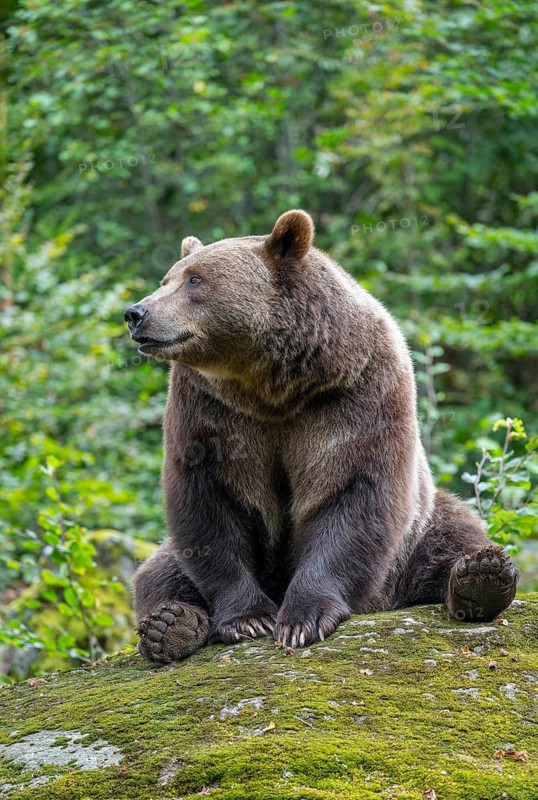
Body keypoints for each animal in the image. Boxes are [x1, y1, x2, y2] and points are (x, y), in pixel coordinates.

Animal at [124, 209, 518, 663]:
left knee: (454, 537)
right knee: (159, 572)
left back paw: (481, 579)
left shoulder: (355, 393)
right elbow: (210, 503)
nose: (136, 313)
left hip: (415, 534)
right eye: (166, 279)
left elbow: (352, 491)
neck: (270, 385)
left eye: (195, 279)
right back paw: (171, 625)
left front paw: (302, 619)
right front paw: (248, 618)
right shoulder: (210, 408)